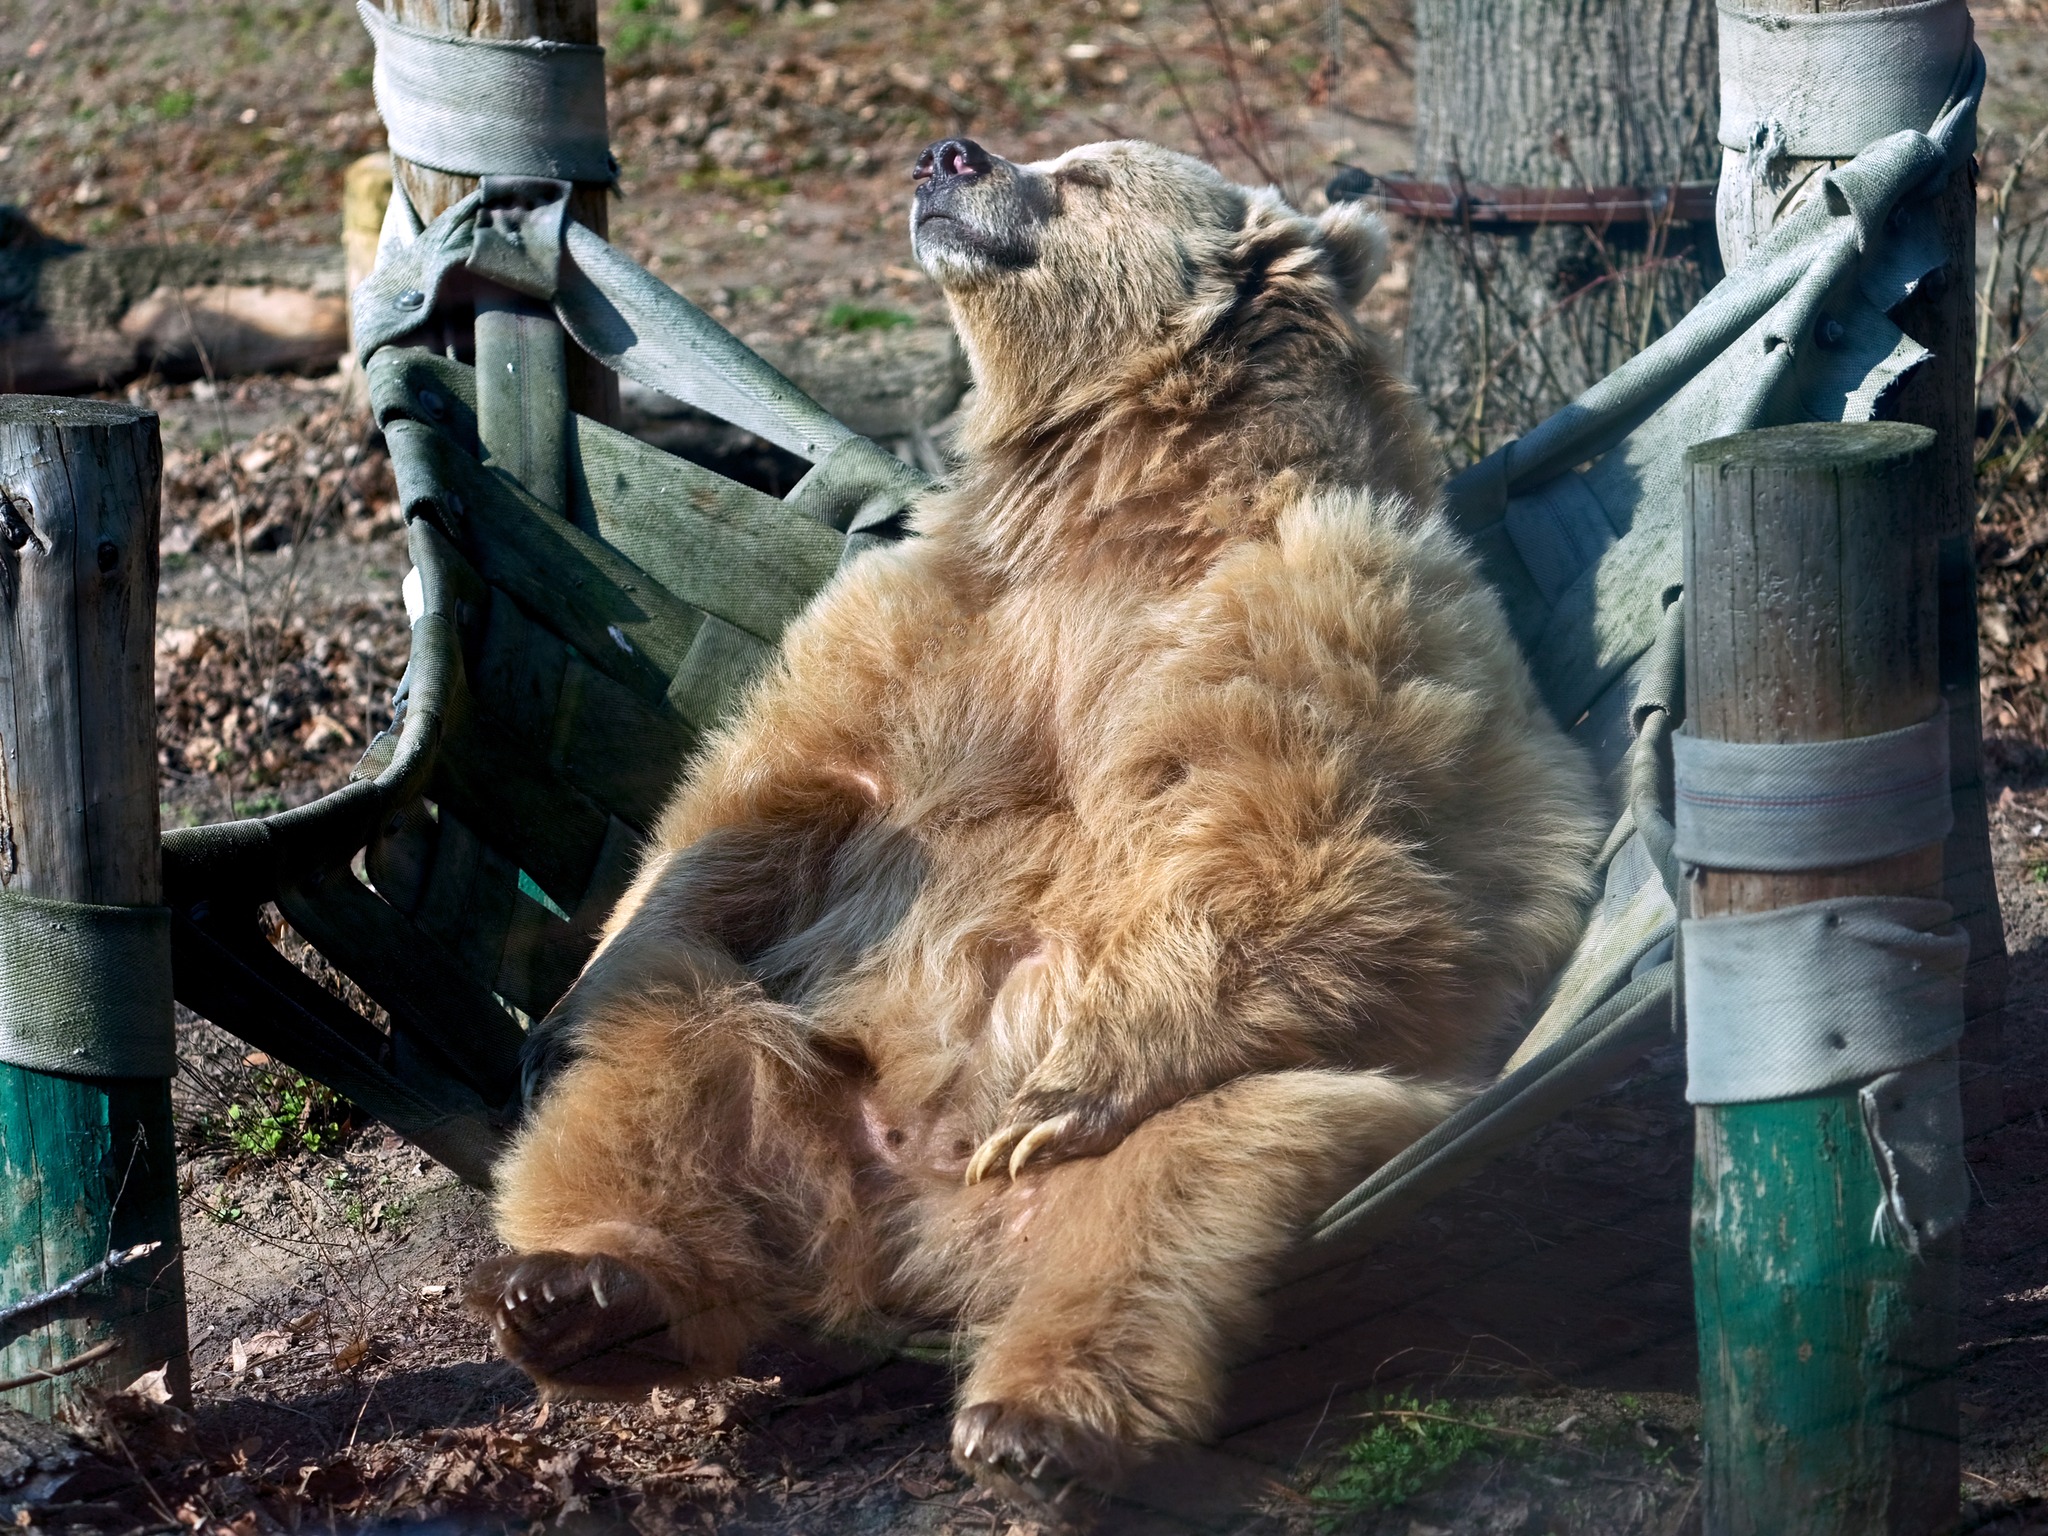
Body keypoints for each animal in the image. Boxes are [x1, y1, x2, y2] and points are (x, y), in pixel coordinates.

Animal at [464, 135, 1597, 1515]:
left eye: (1090, 173)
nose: (949, 155)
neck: (1119, 508)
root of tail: (910, 1242)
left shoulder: (1339, 612)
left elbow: (1321, 858)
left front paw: (1060, 1082)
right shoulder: (930, 621)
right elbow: (770, 795)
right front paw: (556, 1023)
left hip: (1286, 1110)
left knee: (1179, 1194)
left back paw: (1034, 1416)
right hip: (802, 1065)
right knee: (666, 1057)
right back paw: (578, 1287)